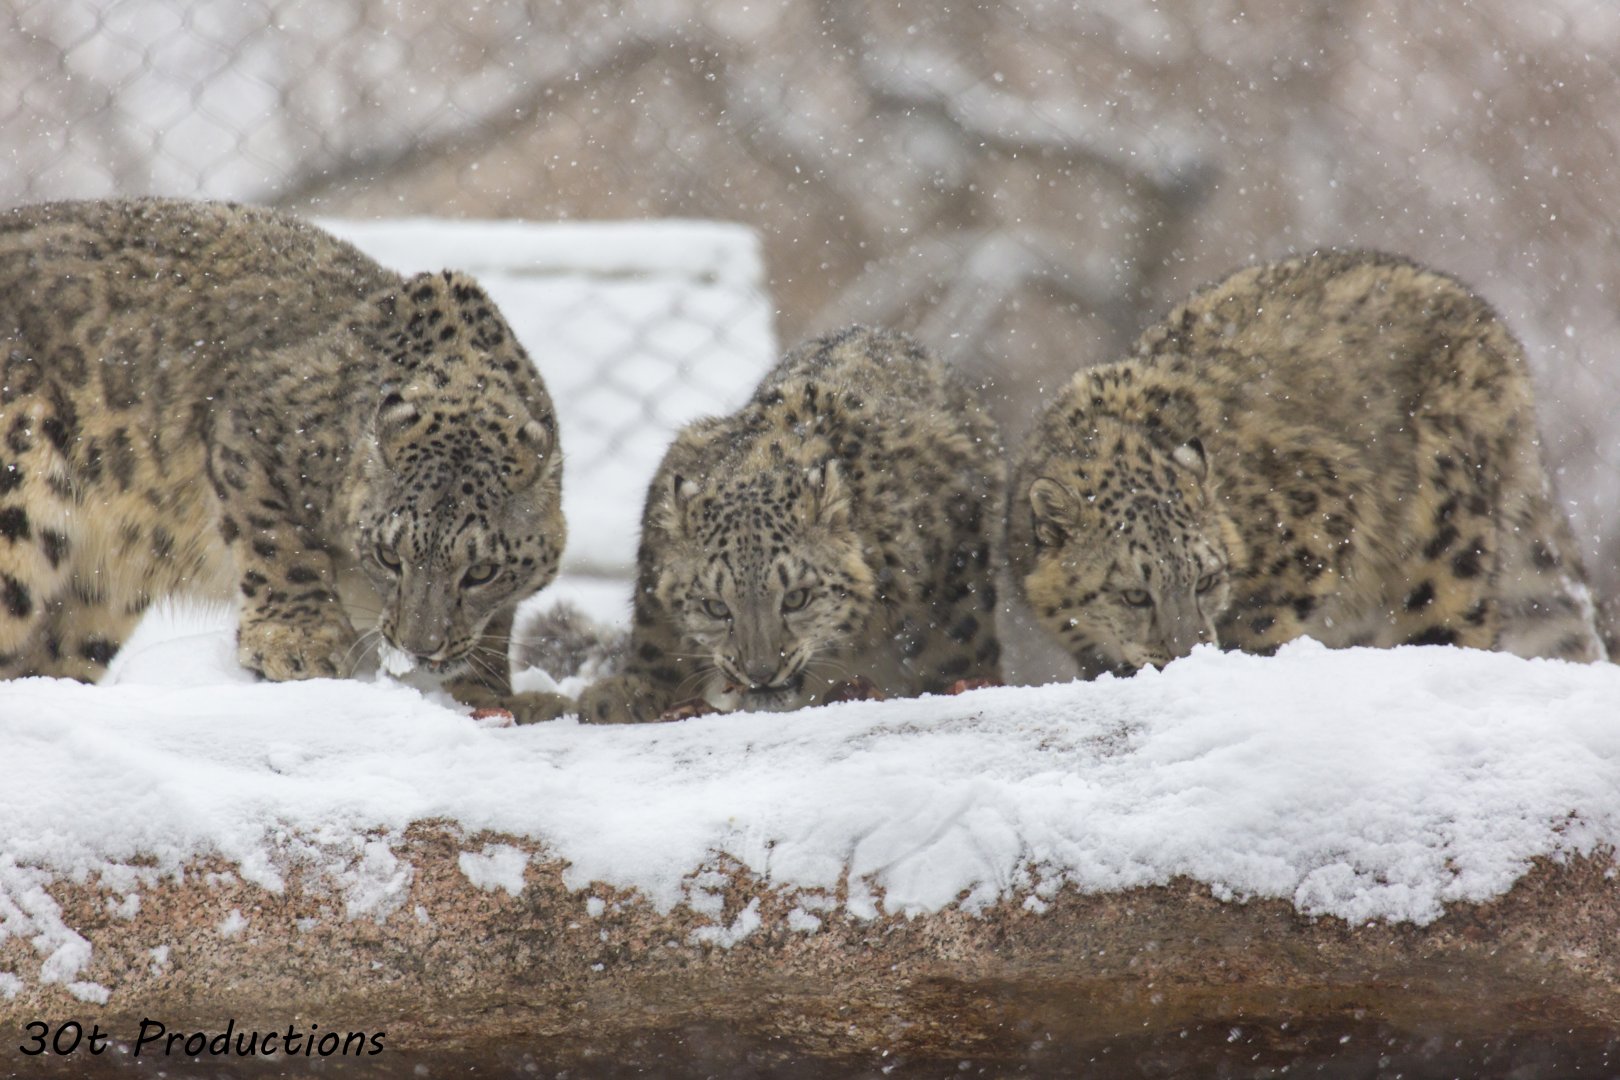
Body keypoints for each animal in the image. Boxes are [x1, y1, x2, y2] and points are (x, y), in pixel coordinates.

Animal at [0, 197, 566, 710]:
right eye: (388, 555)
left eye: (482, 571)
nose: (419, 647)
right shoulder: (252, 423)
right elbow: (279, 539)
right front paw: (299, 643)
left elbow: (496, 630)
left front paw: (486, 689)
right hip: (19, 489)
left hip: (94, 605)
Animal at [553, 325, 1004, 723]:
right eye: (715, 606)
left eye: (797, 598)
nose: (761, 672)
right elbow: (655, 629)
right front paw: (631, 693)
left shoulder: (954, 579)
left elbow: (954, 648)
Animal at [1009, 248, 1607, 678]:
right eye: (1133, 593)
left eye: (1207, 580)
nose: (1186, 655)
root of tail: (1495, 327)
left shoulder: (1317, 516)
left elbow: (1260, 623)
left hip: (1445, 548)